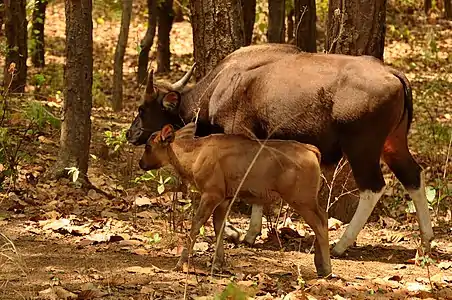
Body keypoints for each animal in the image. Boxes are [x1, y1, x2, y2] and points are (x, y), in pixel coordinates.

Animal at [139, 123, 332, 278]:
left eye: (148, 146)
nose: (141, 163)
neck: (194, 156)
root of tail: (311, 150)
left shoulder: (211, 193)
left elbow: (196, 225)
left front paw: (180, 264)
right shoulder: (225, 197)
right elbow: (219, 226)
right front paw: (218, 264)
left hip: (300, 198)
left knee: (320, 222)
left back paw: (327, 269)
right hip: (307, 199)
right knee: (322, 218)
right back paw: (320, 265)